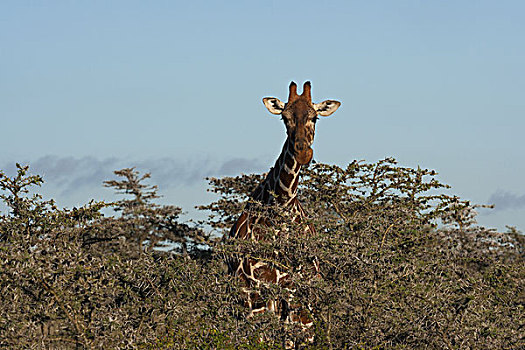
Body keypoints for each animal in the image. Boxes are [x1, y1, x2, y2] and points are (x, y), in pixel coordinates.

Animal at [225, 80, 340, 338]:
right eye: (284, 118)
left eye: (315, 117)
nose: (302, 152)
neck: (283, 208)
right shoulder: (259, 291)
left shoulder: (299, 293)